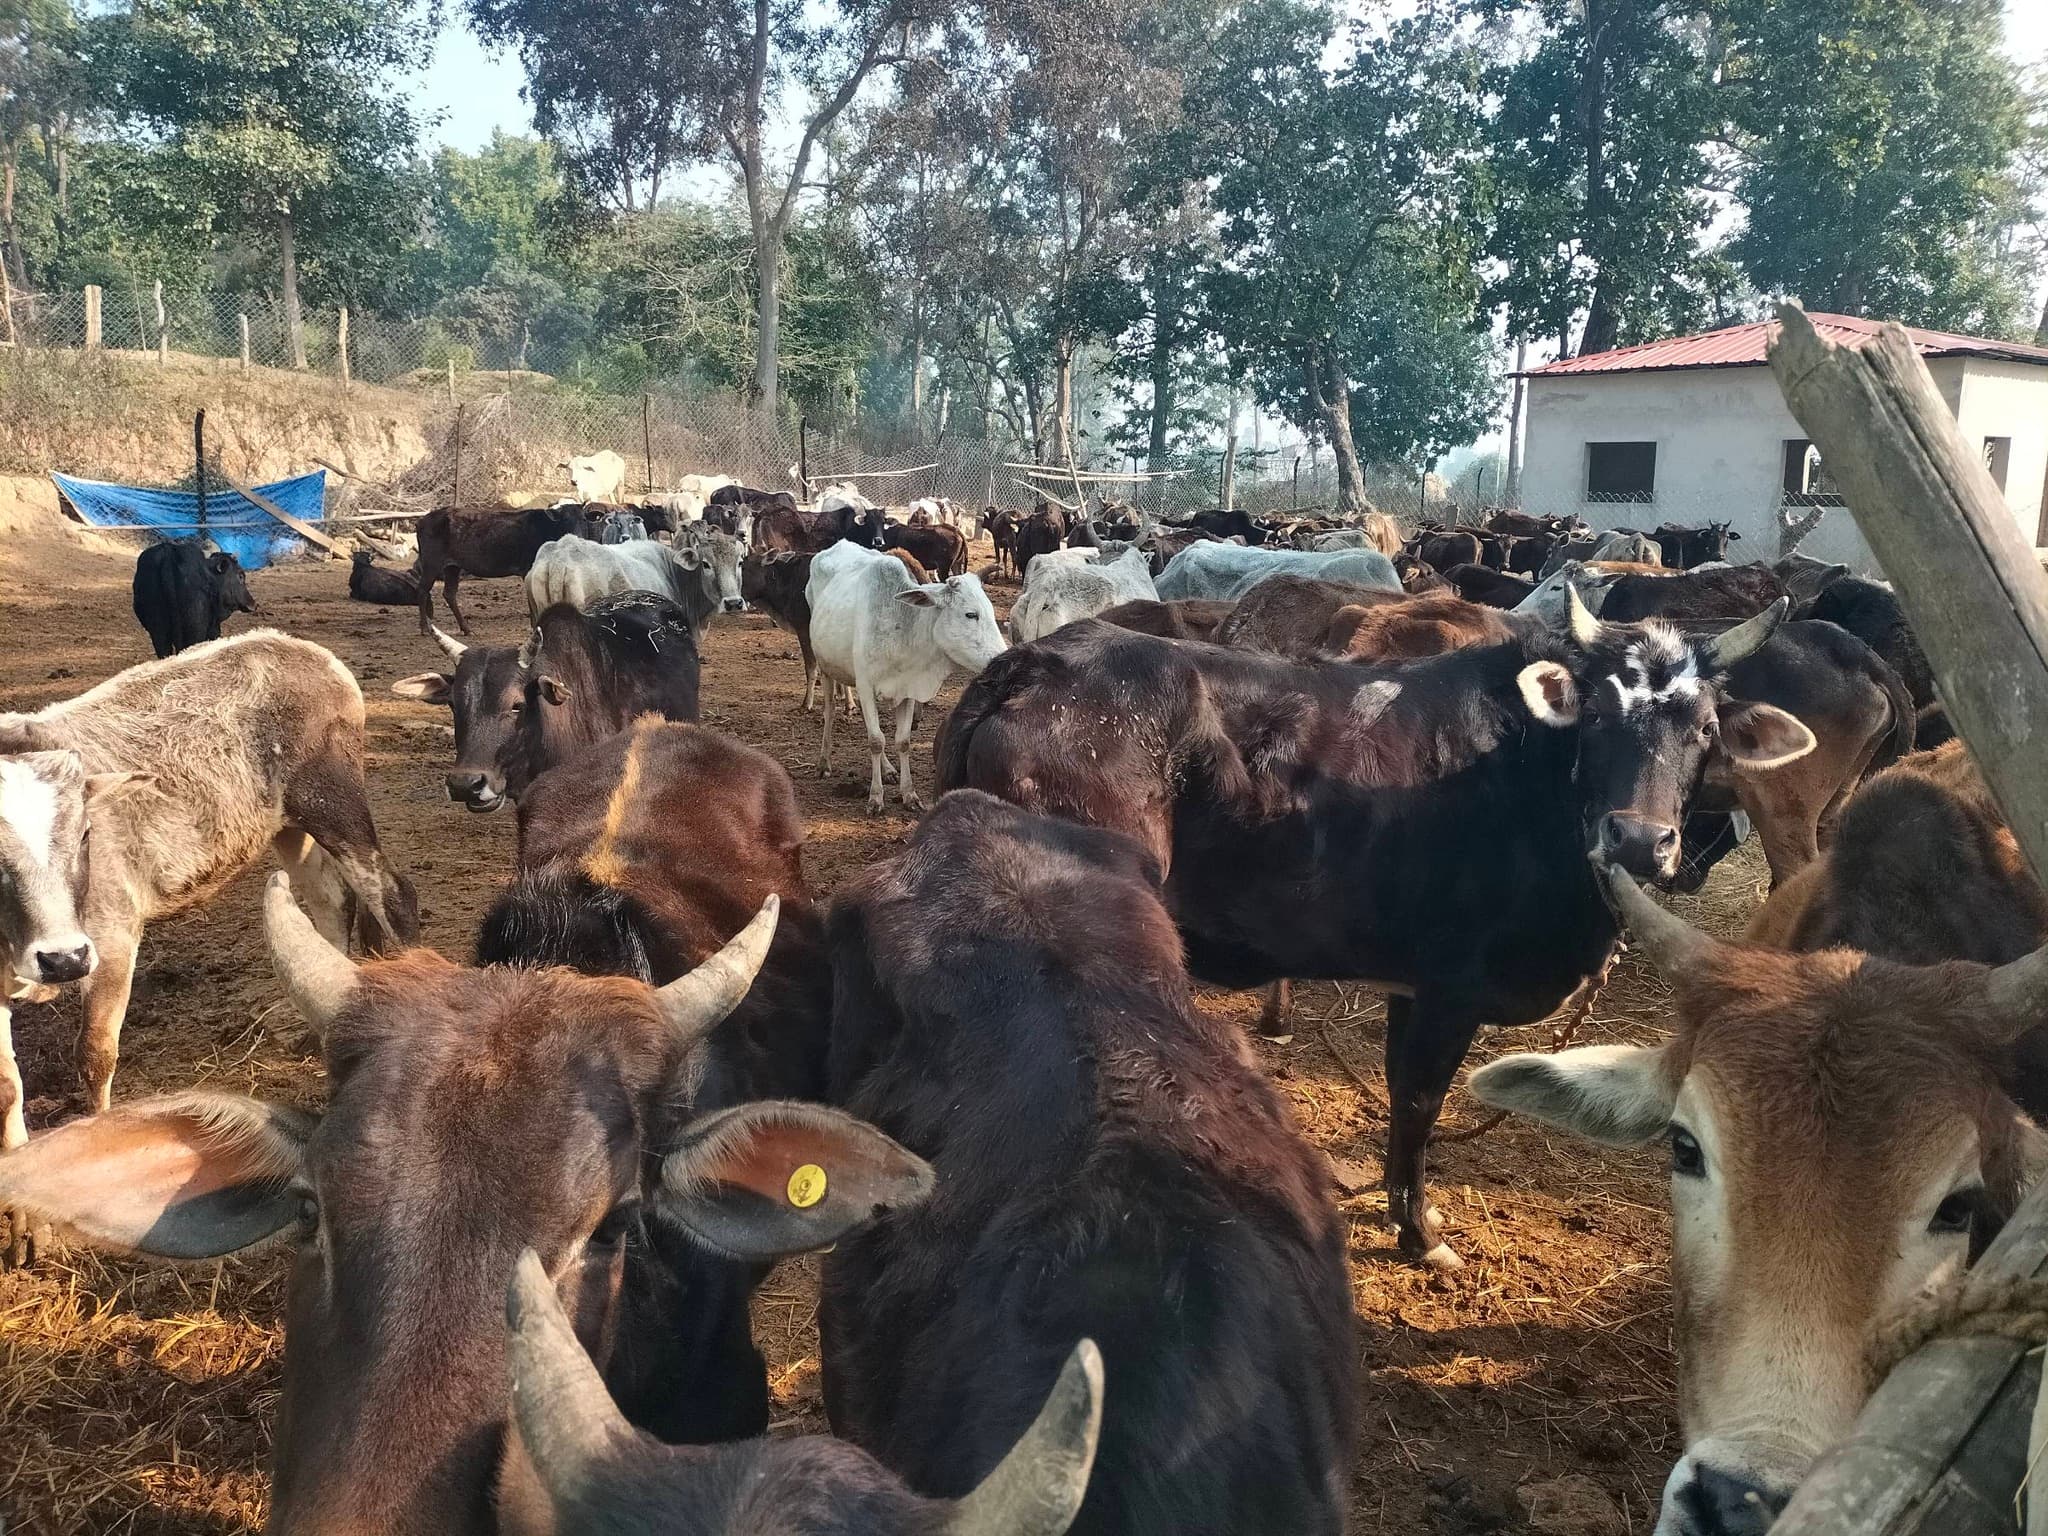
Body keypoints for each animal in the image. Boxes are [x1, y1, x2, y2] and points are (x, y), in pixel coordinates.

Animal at [0, 633, 417, 1206]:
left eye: (85, 834)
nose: (61, 959)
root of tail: (308, 651)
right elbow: (8, 1085)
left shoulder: (111, 934)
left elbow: (94, 1053)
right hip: (288, 825)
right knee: (331, 900)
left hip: (334, 806)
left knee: (392, 895)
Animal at [412, 503, 599, 636]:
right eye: (565, 520)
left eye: (583, 519)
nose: (578, 537)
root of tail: (421, 520)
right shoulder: (527, 569)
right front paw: (534, 626)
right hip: (431, 563)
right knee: (422, 590)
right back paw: (424, 628)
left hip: (452, 567)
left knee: (449, 594)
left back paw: (466, 628)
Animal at [807, 544, 1006, 814]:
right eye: (970, 614)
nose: (1003, 656)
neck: (903, 628)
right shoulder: (865, 686)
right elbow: (875, 740)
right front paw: (875, 797)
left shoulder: (909, 689)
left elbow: (902, 741)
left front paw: (909, 794)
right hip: (826, 666)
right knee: (830, 711)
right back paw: (824, 762)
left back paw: (888, 769)